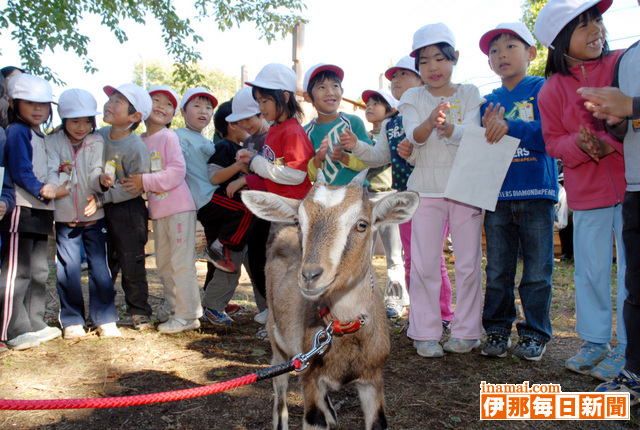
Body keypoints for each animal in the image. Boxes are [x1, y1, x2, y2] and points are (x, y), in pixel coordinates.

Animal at [241, 171, 420, 430]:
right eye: (299, 222)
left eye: (362, 224)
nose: (310, 276)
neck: (344, 330)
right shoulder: (309, 377)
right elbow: (313, 416)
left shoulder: (373, 379)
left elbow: (378, 421)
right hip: (279, 343)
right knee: (280, 386)